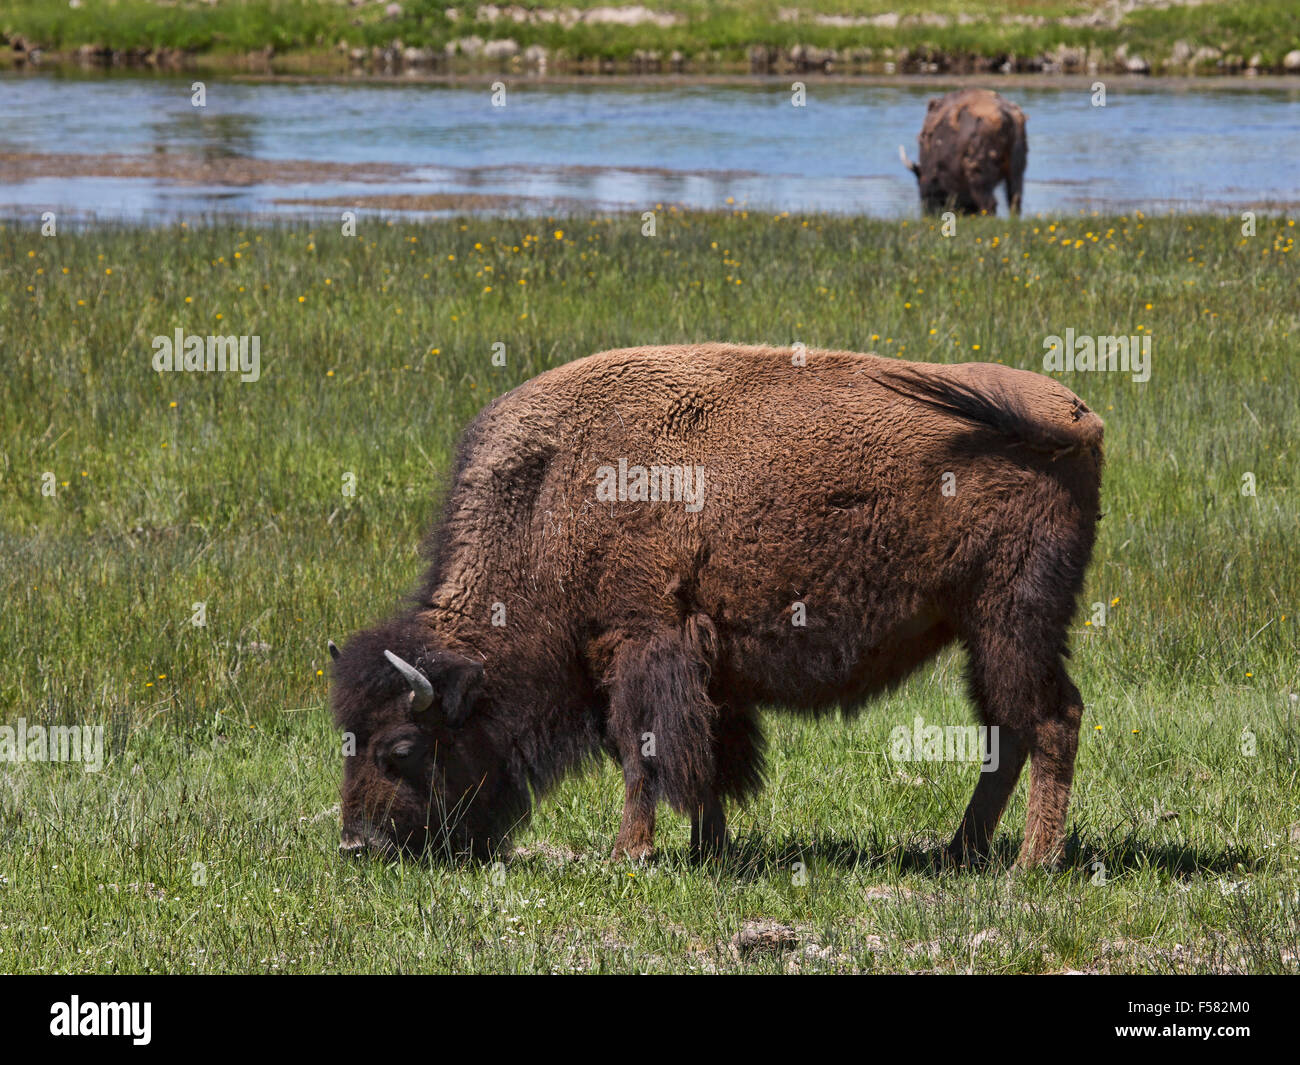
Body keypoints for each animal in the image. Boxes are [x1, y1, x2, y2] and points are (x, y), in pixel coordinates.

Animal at [330, 345, 1102, 868]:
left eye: (401, 747)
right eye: (346, 735)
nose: (358, 845)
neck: (551, 496)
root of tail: (1077, 417)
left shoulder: (640, 645)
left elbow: (643, 751)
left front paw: (631, 853)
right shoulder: (706, 665)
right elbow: (706, 756)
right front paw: (709, 849)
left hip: (1012, 617)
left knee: (1050, 719)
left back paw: (1031, 862)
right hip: (982, 630)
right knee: (1007, 731)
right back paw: (960, 850)